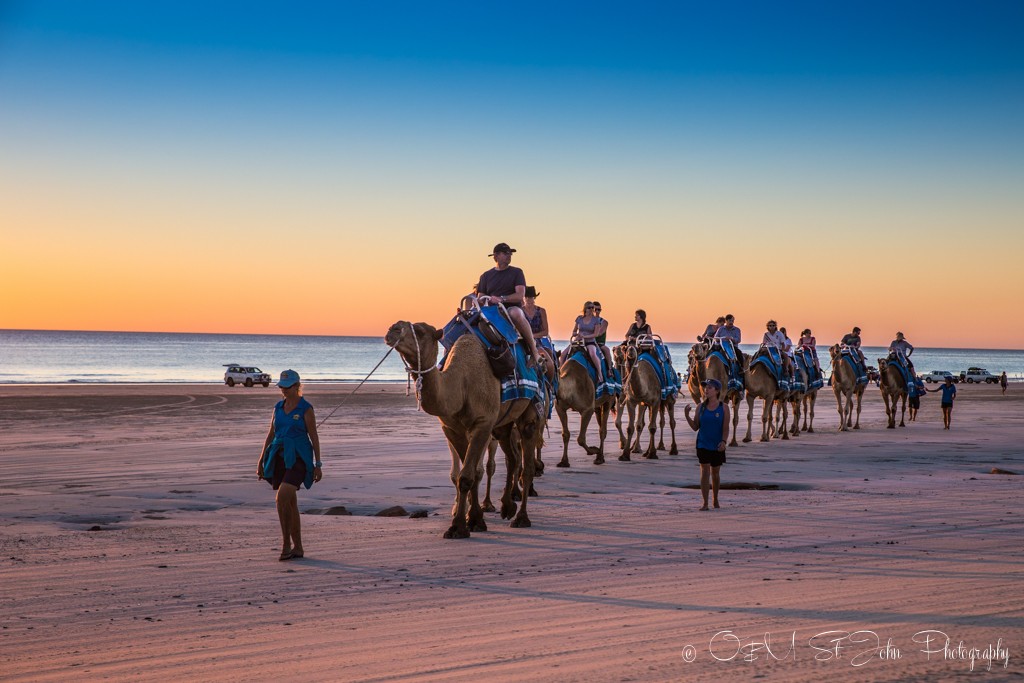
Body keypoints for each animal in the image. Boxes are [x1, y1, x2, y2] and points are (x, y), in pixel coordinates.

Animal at [385, 321, 540, 540]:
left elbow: (468, 476)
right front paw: (474, 520)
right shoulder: (452, 429)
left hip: (529, 413)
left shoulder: (483, 424)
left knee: (527, 464)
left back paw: (521, 518)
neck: (462, 385)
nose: (393, 329)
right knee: (513, 457)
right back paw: (507, 507)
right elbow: (467, 474)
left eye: (421, 331)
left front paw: (458, 527)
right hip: (502, 424)